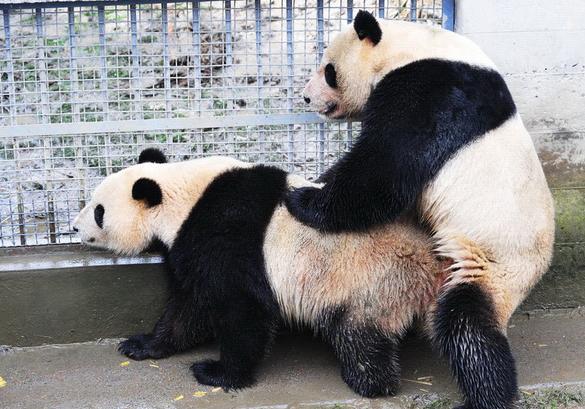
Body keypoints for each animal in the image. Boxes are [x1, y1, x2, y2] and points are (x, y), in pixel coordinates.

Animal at [73, 148, 445, 397]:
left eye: (99, 211)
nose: (75, 227)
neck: (184, 195)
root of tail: (431, 262)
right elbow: (189, 307)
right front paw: (141, 345)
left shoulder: (226, 233)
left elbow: (236, 308)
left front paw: (217, 373)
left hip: (369, 284)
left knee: (360, 336)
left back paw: (369, 383)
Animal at [287, 10, 555, 409]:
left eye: (329, 70)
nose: (306, 96)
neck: (411, 45)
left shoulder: (433, 92)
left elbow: (385, 169)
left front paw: (302, 197)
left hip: (492, 262)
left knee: (468, 327)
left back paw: (487, 395)